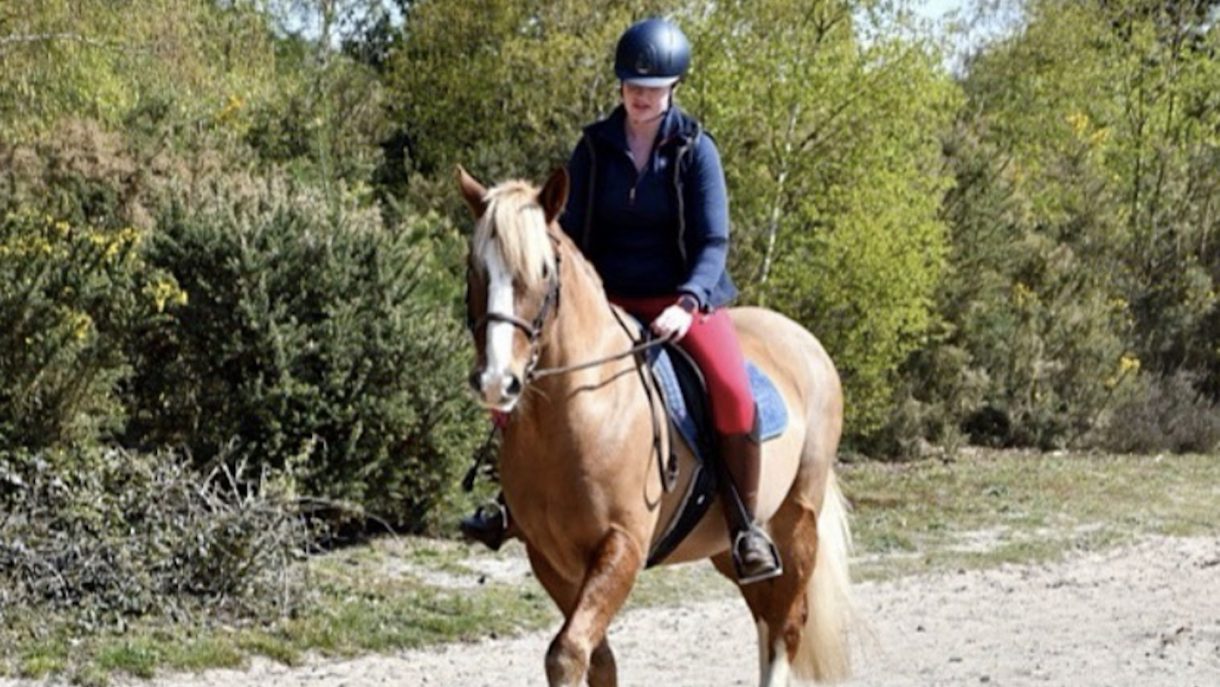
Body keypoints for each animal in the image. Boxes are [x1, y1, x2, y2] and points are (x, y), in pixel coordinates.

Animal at [457, 165, 853, 687]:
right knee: (765, 618)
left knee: (786, 625)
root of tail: (804, 341)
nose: (497, 381)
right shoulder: (549, 558)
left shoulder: (621, 547)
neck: (577, 413)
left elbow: (566, 653)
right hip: (726, 544)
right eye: (475, 269)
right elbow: (596, 659)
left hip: (795, 521)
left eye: (543, 271)